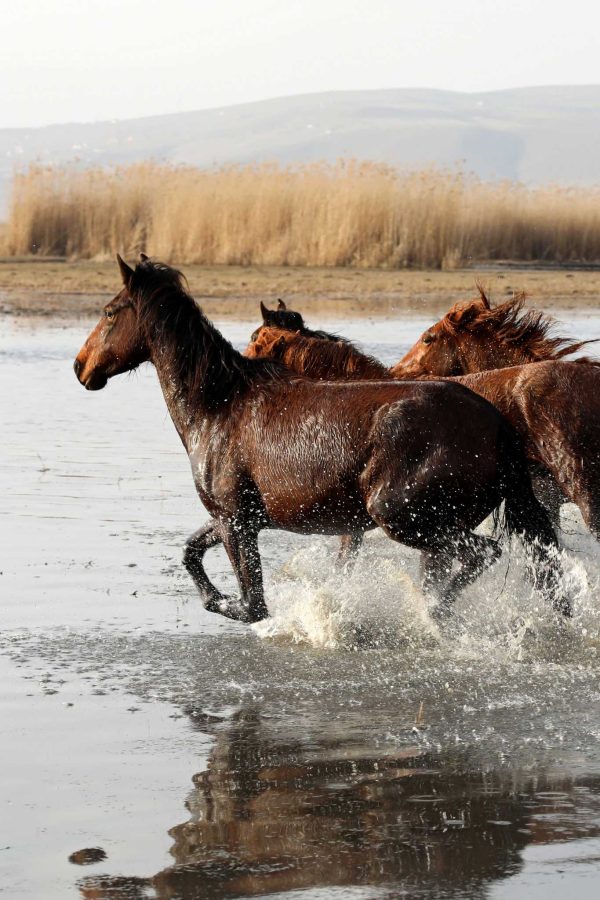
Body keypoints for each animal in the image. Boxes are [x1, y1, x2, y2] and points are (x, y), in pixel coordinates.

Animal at [72, 256, 564, 624]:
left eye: (110, 311)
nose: (81, 367)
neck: (217, 406)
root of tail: (497, 424)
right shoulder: (236, 518)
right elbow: (190, 552)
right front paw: (214, 597)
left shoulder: (235, 522)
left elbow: (253, 606)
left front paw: (235, 605)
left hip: (404, 517)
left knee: (484, 554)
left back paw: (433, 612)